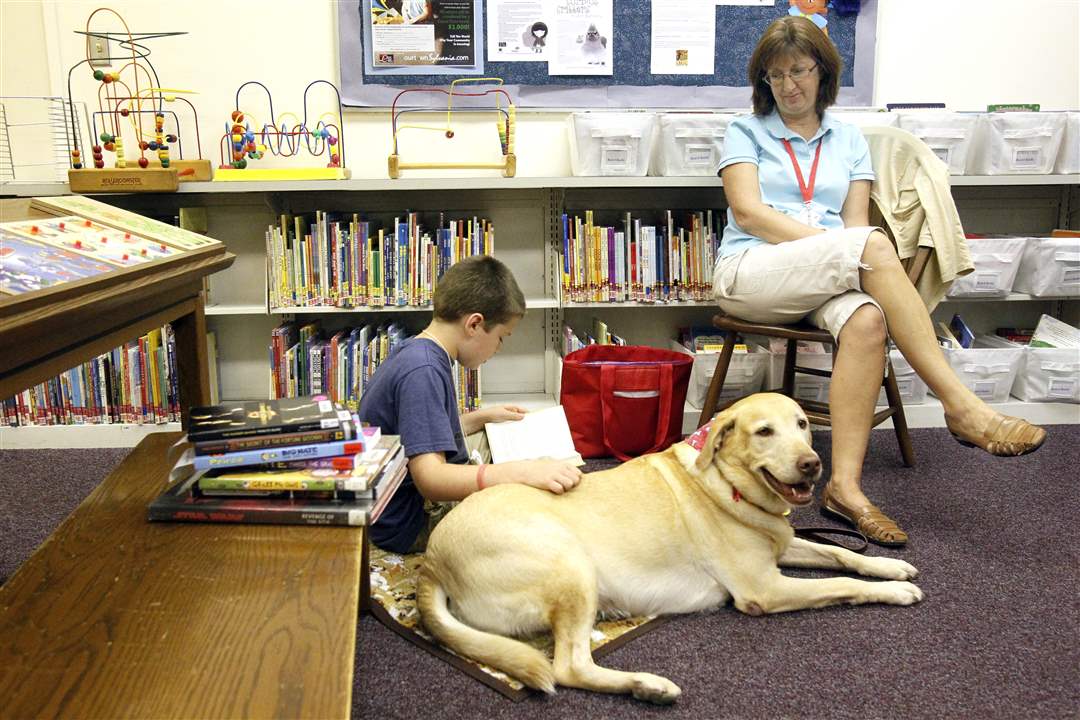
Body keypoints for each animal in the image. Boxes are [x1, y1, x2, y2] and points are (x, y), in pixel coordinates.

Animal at [416, 395, 924, 703]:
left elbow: (842, 555)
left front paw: (891, 567)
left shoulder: (780, 546)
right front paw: (894, 593)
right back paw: (647, 685)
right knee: (567, 667)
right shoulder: (764, 588)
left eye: (801, 424)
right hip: (572, 565)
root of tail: (431, 562)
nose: (812, 463)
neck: (727, 483)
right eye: (764, 432)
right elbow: (839, 583)